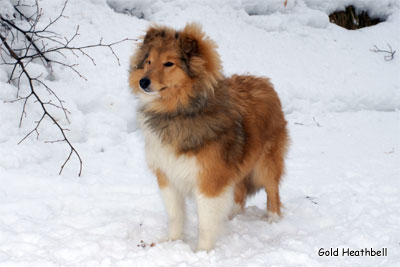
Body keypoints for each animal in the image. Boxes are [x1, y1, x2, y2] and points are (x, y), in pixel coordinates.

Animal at [130, 23, 290, 251]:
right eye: (149, 61)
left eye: (169, 63)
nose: (143, 82)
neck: (180, 111)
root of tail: (263, 81)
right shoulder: (168, 175)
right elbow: (175, 215)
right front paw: (172, 242)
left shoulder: (209, 177)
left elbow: (206, 220)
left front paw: (202, 251)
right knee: (240, 190)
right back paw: (232, 214)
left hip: (265, 162)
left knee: (272, 189)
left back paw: (273, 218)